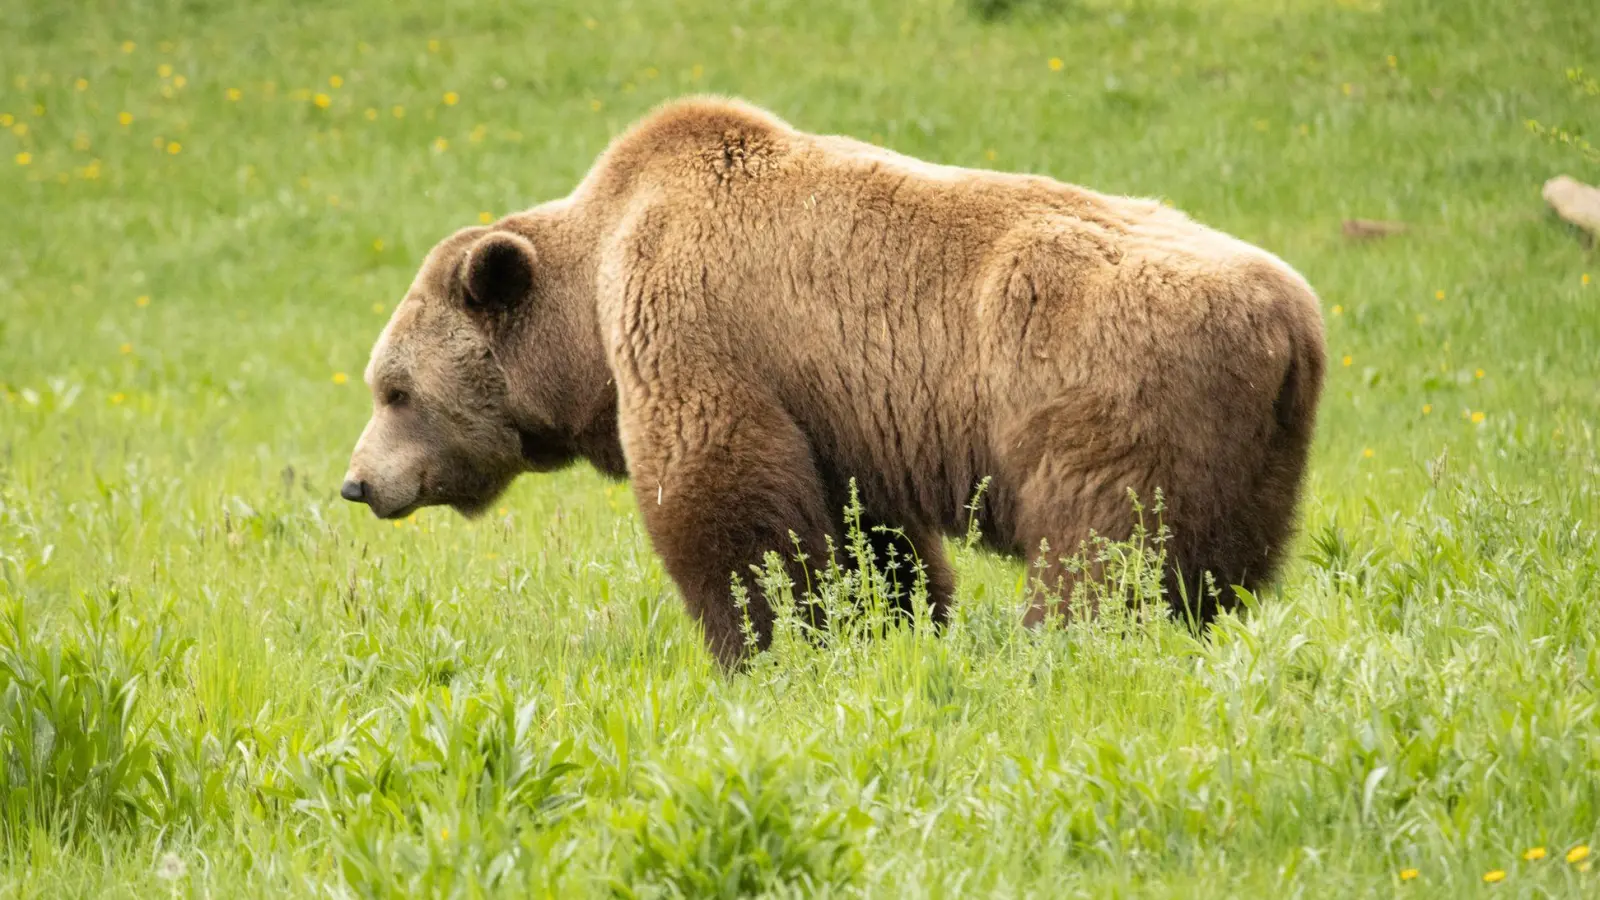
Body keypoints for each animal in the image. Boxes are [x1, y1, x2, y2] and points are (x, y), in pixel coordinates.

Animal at [344, 96, 1331, 666]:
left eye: (395, 391)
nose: (357, 482)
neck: (585, 316)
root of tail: (1293, 320)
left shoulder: (697, 323)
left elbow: (724, 498)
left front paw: (764, 645)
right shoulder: (843, 408)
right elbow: (869, 532)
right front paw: (888, 623)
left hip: (1107, 391)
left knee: (1102, 548)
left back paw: (1064, 647)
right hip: (1254, 453)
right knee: (1221, 566)